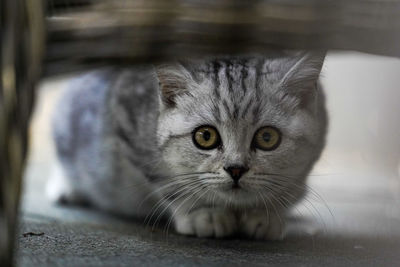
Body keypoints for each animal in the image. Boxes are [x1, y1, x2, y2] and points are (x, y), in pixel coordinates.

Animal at [47, 51, 328, 240]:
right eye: (205, 136)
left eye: (267, 138)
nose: (236, 169)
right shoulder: (126, 119)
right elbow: (169, 183)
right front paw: (203, 213)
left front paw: (265, 214)